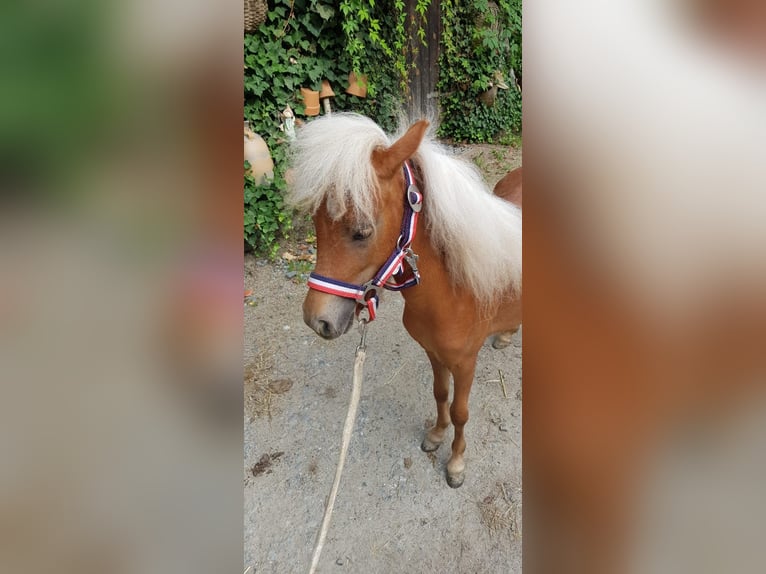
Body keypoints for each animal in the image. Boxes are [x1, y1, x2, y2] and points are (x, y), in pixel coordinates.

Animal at [286, 113, 520, 490]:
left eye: (362, 232)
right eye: (316, 225)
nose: (317, 320)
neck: (453, 294)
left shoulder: (465, 364)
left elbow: (460, 411)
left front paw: (456, 463)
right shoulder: (433, 353)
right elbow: (440, 394)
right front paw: (436, 436)